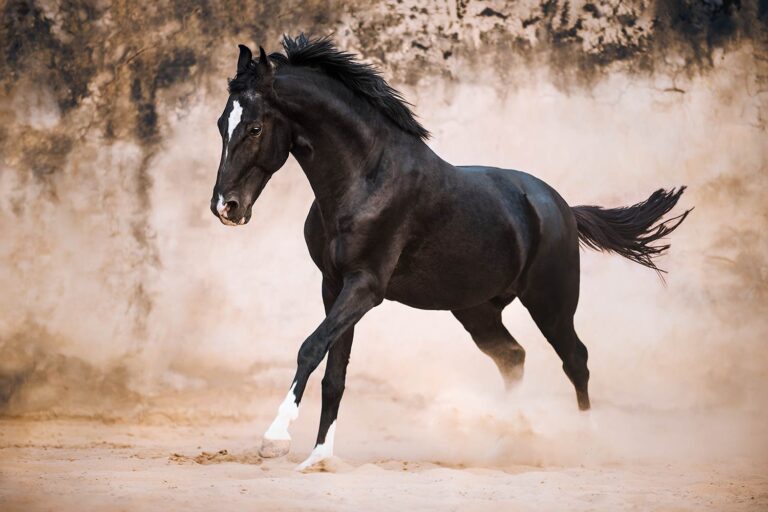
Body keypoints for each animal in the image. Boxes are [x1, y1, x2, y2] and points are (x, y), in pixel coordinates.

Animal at [209, 34, 690, 470]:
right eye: (220, 124)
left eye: (254, 127)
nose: (225, 207)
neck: (366, 179)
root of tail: (561, 207)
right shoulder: (334, 286)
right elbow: (335, 372)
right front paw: (320, 457)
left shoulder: (365, 287)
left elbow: (310, 349)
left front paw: (275, 439)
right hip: (477, 311)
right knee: (513, 357)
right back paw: (508, 444)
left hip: (551, 302)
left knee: (576, 360)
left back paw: (585, 445)